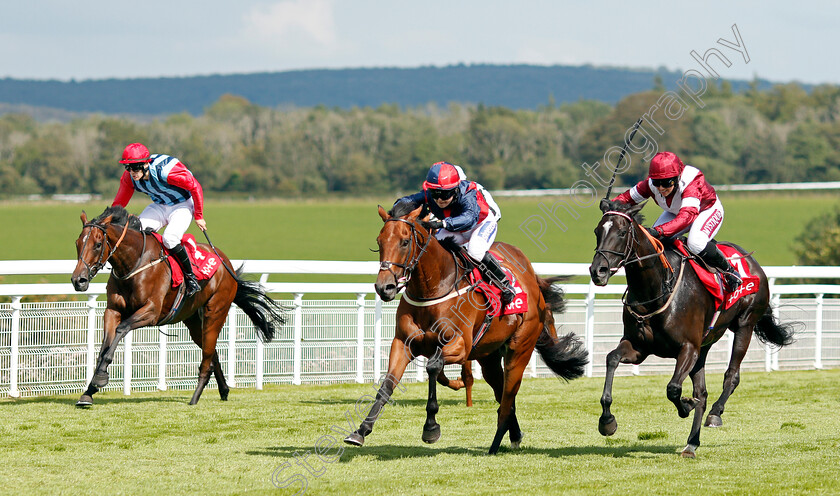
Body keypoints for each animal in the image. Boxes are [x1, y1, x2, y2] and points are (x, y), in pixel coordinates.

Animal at [70, 205, 286, 406]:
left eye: (98, 244)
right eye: (77, 243)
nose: (78, 280)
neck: (134, 263)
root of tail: (226, 263)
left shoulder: (151, 312)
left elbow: (121, 330)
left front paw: (100, 377)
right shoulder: (112, 310)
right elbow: (105, 345)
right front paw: (88, 392)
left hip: (215, 312)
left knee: (207, 356)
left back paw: (195, 397)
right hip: (193, 320)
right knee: (211, 353)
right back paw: (224, 390)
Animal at [342, 204, 584, 454]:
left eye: (405, 241)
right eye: (379, 242)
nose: (385, 287)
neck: (434, 287)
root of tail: (533, 280)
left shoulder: (461, 345)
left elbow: (433, 366)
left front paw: (431, 427)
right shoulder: (402, 344)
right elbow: (388, 384)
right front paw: (360, 431)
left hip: (520, 350)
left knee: (508, 396)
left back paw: (495, 444)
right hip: (489, 358)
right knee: (502, 394)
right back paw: (514, 434)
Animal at [584, 201, 796, 458]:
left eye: (623, 232)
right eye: (597, 231)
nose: (599, 271)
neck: (656, 289)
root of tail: (754, 266)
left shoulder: (688, 347)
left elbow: (673, 388)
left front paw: (685, 406)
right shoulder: (638, 347)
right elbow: (611, 359)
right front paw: (607, 422)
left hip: (744, 325)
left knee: (731, 376)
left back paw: (715, 413)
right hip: (705, 343)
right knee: (702, 393)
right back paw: (691, 443)